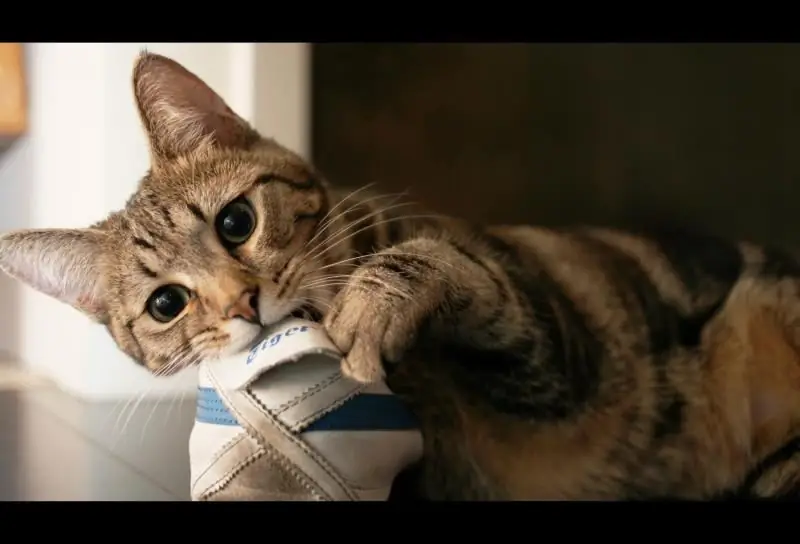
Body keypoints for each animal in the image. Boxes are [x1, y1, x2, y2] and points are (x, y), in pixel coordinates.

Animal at [1, 53, 800, 500]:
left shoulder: (556, 345)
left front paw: (375, 302)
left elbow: (444, 264)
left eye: (236, 222)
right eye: (167, 303)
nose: (245, 304)